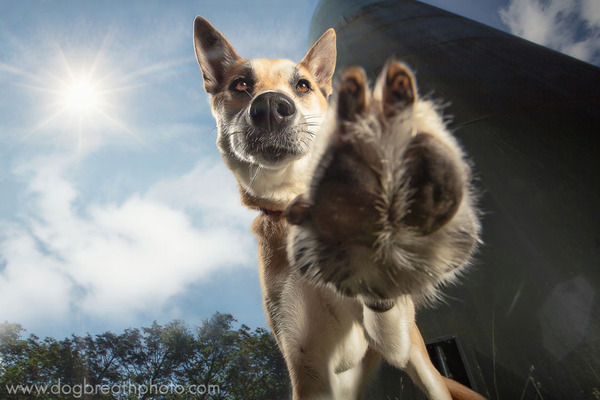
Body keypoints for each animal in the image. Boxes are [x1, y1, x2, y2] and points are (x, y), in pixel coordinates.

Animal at [195, 16, 486, 400]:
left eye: (302, 85)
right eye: (240, 84)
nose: (270, 107)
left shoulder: (395, 339)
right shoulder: (307, 364)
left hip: (421, 362)